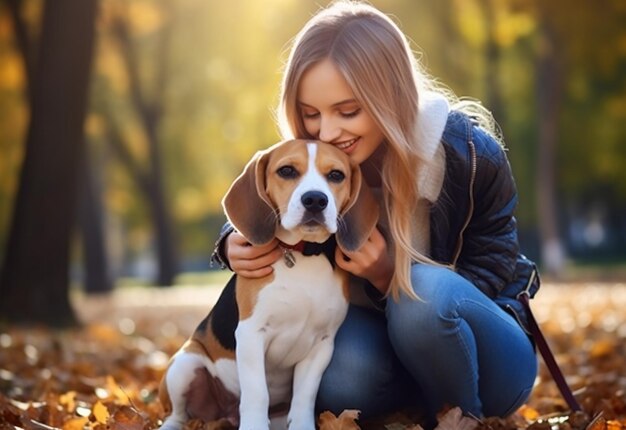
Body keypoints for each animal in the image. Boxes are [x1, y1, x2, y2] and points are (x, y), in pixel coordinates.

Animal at [158, 139, 378, 428]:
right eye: (286, 171)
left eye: (336, 175)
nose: (315, 200)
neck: (303, 254)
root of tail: (226, 415)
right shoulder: (251, 333)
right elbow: (257, 391)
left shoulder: (322, 344)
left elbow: (305, 396)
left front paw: (303, 425)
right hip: (185, 364)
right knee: (178, 414)